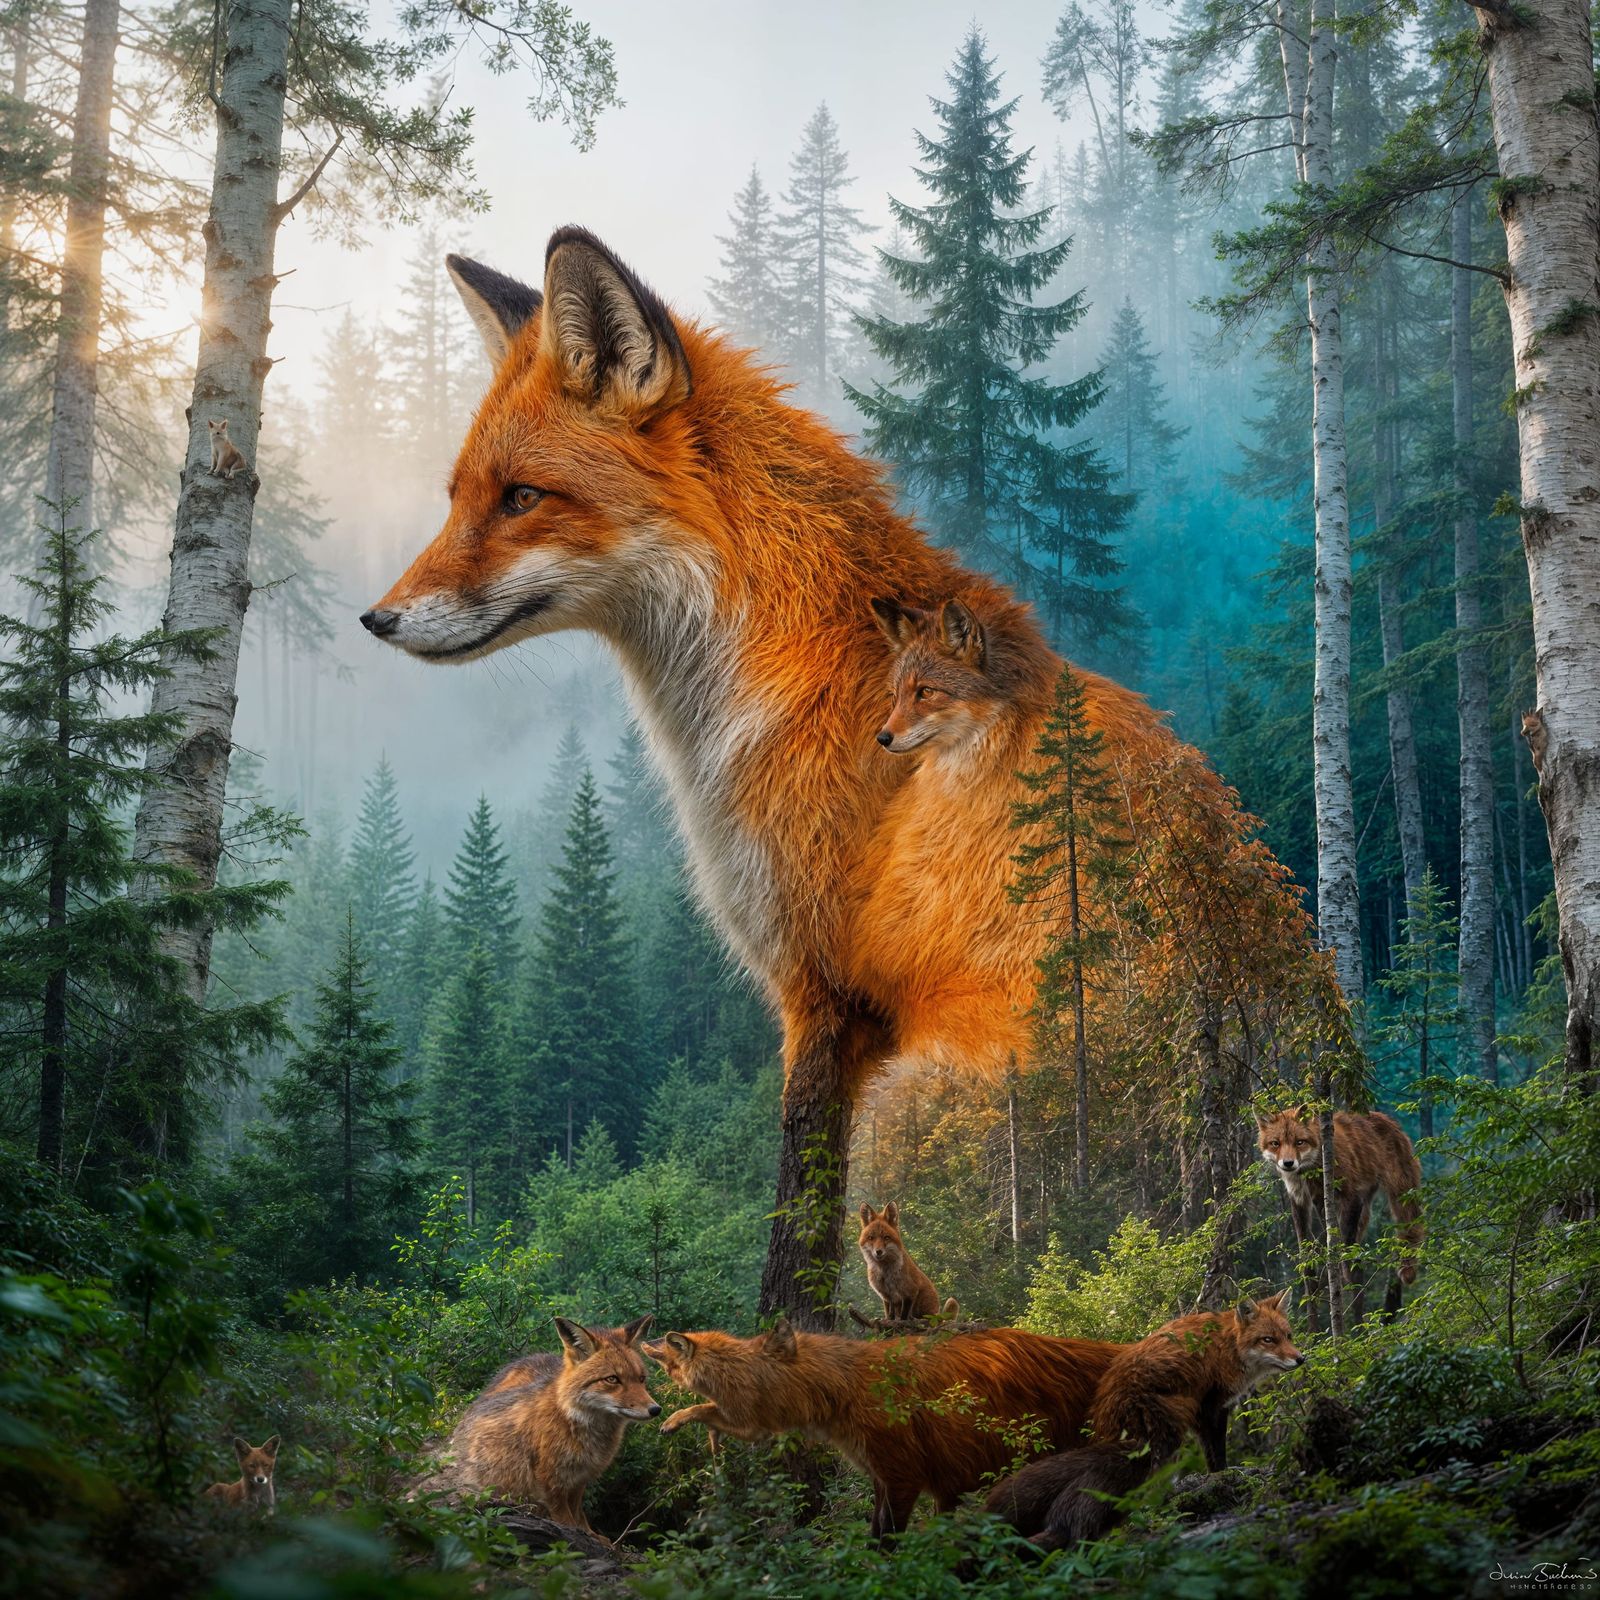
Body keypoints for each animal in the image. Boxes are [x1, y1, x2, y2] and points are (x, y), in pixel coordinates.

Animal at [361, 228, 1182, 1323]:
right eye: (456, 498)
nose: (376, 619)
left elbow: (798, 1222)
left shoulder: (825, 988)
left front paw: (777, 1346)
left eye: (523, 498)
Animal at [451, 1315, 660, 1531]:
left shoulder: (579, 1479)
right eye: (612, 1379)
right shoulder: (549, 1481)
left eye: (641, 1379)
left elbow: (578, 1515)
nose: (655, 1409)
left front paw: (591, 1534)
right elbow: (565, 1519)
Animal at [642, 1317, 1122, 1536]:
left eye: (667, 1361)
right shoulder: (885, 1474)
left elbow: (886, 1542)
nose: (651, 1344)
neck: (843, 1394)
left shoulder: (904, 1472)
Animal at [986, 1292, 1303, 1550]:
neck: (1226, 1345)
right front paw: (1222, 1479)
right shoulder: (1209, 1408)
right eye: (1268, 1340)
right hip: (1165, 1440)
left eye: (1288, 1335)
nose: (1301, 1359)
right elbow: (1217, 1459)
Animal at [1258, 1106, 1424, 1322]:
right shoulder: (1301, 1201)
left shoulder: (1349, 1197)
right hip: (1363, 1211)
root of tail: (1386, 1118)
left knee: (1403, 1241)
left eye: (1299, 1142)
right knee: (1362, 1263)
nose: (1288, 1163)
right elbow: (1309, 1269)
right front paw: (1313, 1326)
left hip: (1398, 1197)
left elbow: (1345, 1264)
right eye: (1275, 1143)